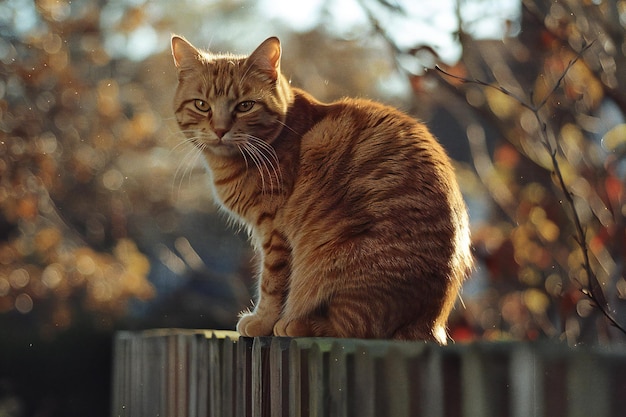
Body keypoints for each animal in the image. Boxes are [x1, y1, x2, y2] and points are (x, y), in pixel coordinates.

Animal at [168, 35, 470, 342]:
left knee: (356, 326)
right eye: (202, 105)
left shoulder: (274, 231)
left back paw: (295, 324)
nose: (220, 130)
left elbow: (271, 283)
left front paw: (262, 321)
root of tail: (431, 323)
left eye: (244, 106)